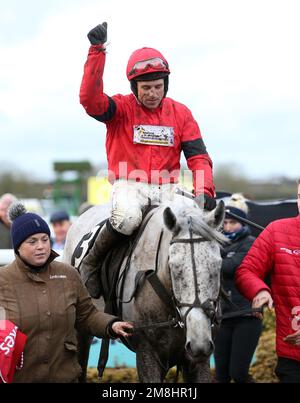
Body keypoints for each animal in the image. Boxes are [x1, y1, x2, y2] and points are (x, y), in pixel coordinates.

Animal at [63, 197, 227, 384]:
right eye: (174, 267)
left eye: (217, 265)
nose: (199, 343)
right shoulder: (147, 353)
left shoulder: (196, 359)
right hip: (80, 331)